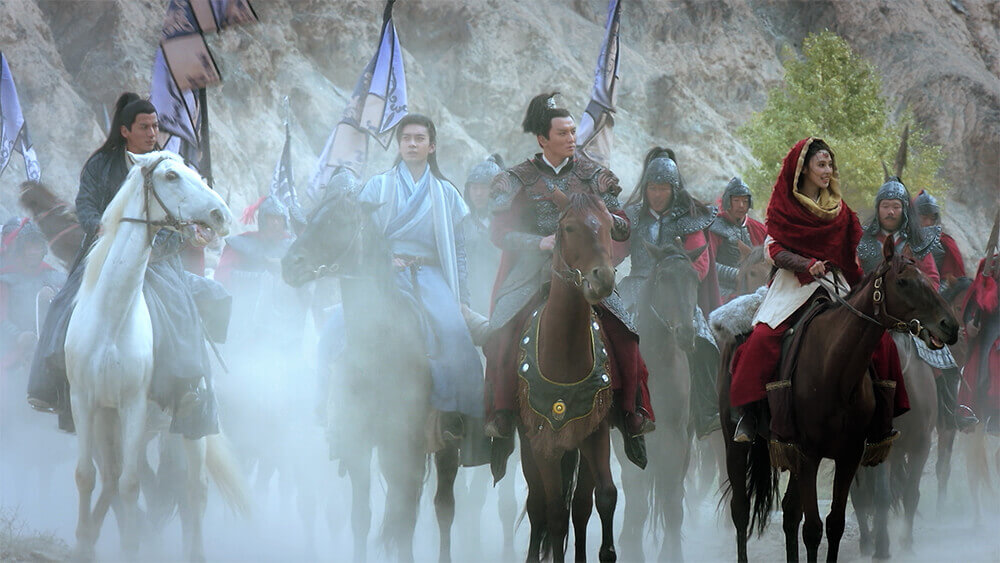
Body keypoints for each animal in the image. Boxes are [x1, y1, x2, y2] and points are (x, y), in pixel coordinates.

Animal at [65, 150, 248, 560]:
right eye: (171, 176)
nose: (222, 216)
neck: (111, 322)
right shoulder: (85, 402)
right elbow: (87, 476)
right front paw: (84, 542)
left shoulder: (132, 406)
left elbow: (130, 484)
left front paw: (130, 546)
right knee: (115, 478)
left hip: (190, 426)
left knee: (194, 490)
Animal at [520, 191, 620, 563]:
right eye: (569, 228)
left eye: (608, 225)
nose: (602, 278)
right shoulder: (543, 440)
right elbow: (554, 513)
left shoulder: (596, 429)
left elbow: (605, 497)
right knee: (539, 505)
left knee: (579, 506)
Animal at [720, 237, 960, 563]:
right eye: (903, 281)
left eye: (927, 279)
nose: (950, 326)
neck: (834, 368)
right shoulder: (809, 455)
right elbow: (814, 528)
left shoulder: (851, 454)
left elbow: (835, 522)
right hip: (734, 442)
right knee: (742, 509)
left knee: (790, 513)